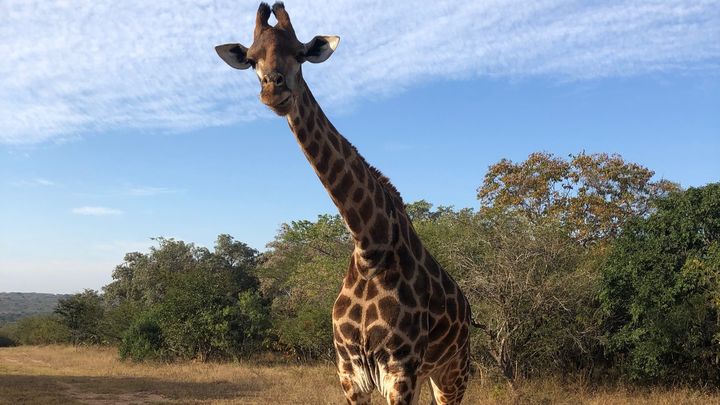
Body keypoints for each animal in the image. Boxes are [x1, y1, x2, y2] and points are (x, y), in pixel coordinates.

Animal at [216, 3, 472, 404]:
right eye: (253, 59)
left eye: (300, 54)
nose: (274, 90)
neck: (370, 246)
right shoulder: (350, 373)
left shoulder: (400, 372)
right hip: (430, 375)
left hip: (453, 372)